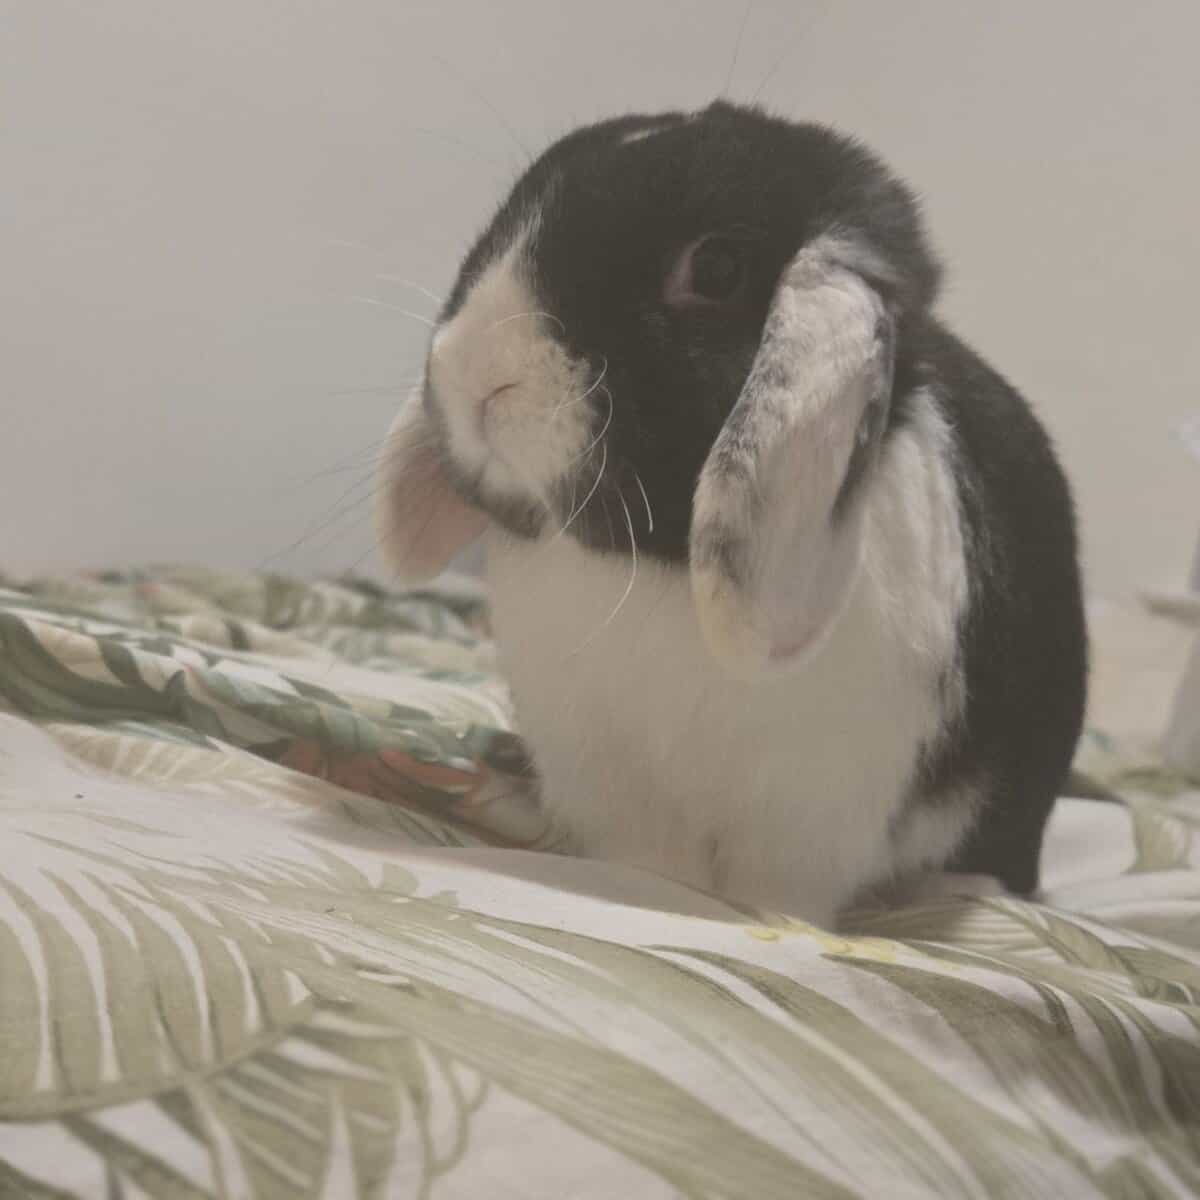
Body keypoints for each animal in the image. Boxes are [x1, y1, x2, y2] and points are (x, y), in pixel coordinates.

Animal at [376, 101, 1087, 927]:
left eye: (715, 270)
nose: (473, 372)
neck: (648, 568)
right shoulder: (606, 779)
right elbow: (639, 865)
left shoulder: (810, 818)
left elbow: (773, 898)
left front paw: (767, 924)